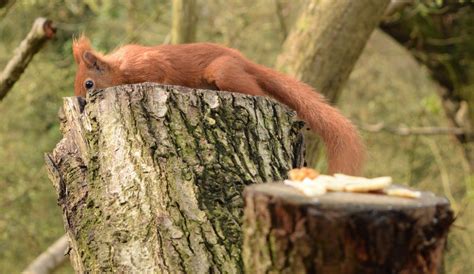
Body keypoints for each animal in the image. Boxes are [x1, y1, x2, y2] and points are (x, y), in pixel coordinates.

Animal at [72, 35, 366, 174]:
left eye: (89, 84)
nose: (81, 104)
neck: (118, 68)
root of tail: (243, 60)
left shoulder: (151, 66)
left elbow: (161, 74)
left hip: (224, 72)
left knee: (259, 92)